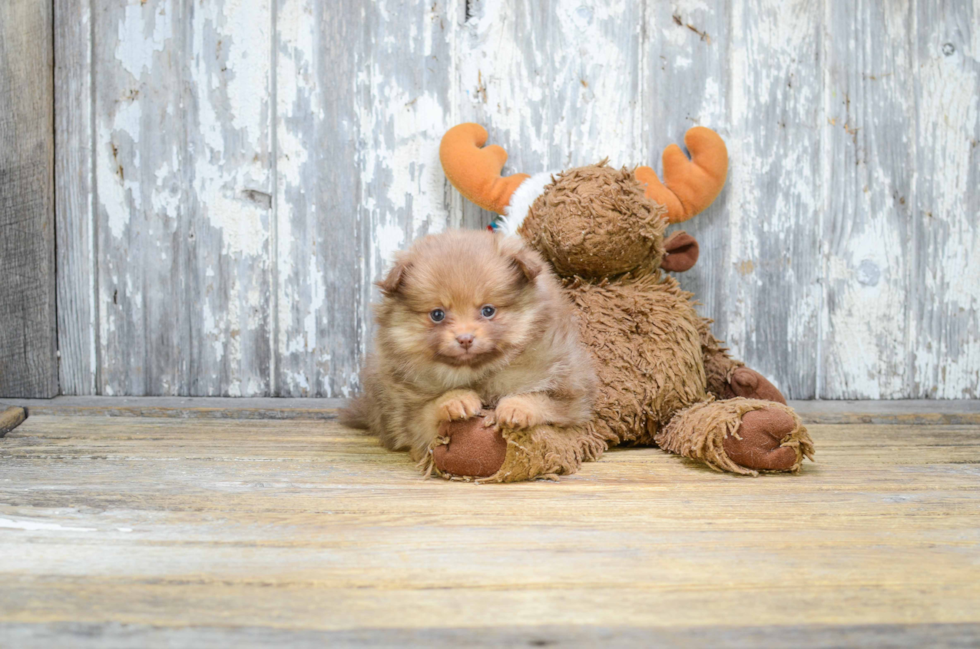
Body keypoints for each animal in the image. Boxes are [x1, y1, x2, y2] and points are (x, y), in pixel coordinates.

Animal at [340, 230, 592, 464]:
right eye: (437, 314)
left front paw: (516, 408)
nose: (465, 338)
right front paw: (456, 399)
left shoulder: (571, 397)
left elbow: (543, 400)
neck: (477, 373)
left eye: (488, 310)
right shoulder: (405, 414)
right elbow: (428, 413)